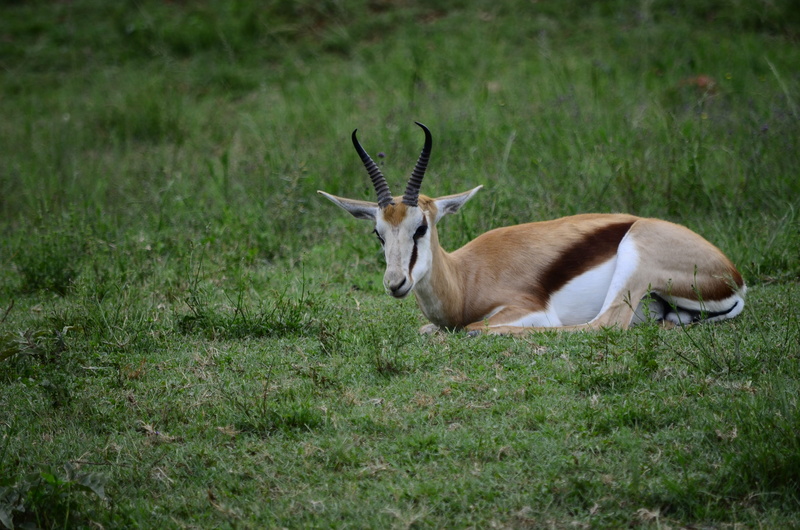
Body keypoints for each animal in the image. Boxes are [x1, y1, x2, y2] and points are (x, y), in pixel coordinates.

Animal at [318, 122, 746, 335]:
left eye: (420, 227)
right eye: (378, 233)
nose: (395, 283)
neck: (465, 280)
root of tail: (734, 276)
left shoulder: (524, 310)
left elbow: (471, 328)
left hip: (634, 259)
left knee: (602, 326)